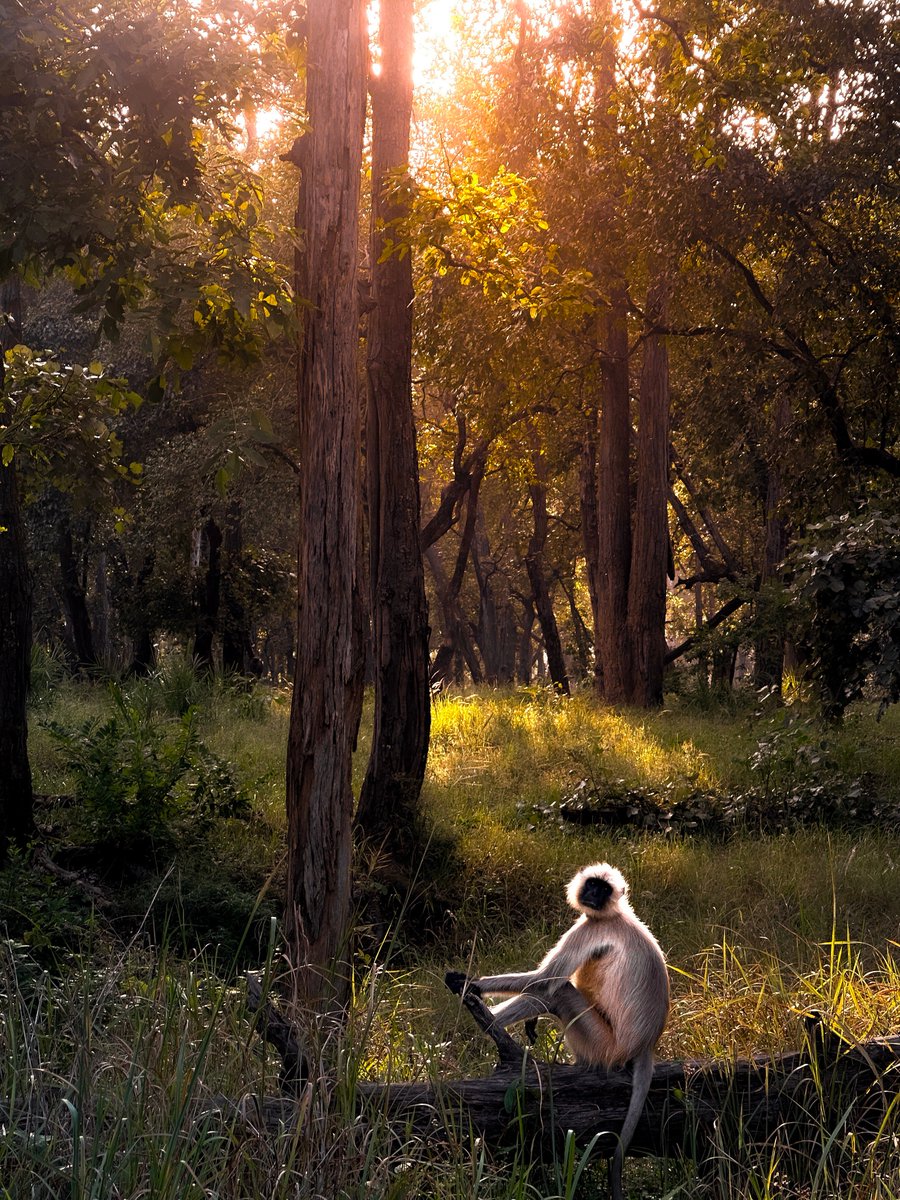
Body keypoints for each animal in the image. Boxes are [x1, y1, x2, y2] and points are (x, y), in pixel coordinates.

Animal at [451, 864, 672, 1200]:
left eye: (603, 890)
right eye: (593, 885)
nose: (593, 895)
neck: (614, 915)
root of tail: (645, 1045)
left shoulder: (590, 929)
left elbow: (543, 980)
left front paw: (468, 984)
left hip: (601, 1044)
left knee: (559, 992)